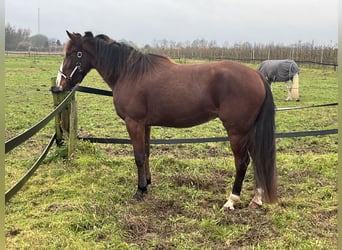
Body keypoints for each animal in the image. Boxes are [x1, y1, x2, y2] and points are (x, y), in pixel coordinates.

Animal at [53, 31, 278, 211]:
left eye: (72, 53)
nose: (59, 84)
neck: (129, 73)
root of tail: (257, 75)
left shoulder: (134, 123)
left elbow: (138, 156)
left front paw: (140, 190)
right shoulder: (145, 124)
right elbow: (146, 153)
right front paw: (147, 183)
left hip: (237, 132)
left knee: (242, 162)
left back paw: (231, 201)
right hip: (249, 131)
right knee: (256, 159)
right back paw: (256, 199)